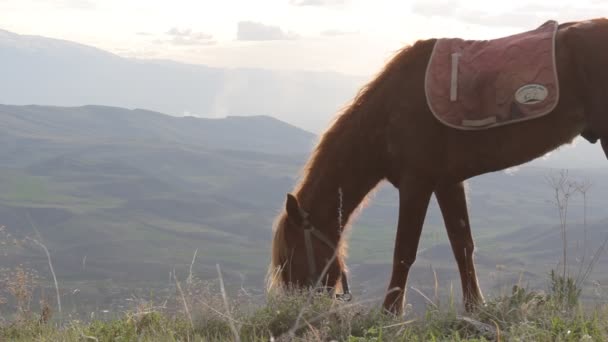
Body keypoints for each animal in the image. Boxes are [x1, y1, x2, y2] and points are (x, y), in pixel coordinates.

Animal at [266, 17, 608, 314]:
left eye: (291, 259)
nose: (298, 314)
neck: (389, 111)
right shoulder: (448, 182)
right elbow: (462, 245)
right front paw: (474, 309)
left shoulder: (416, 183)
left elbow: (404, 252)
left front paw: (388, 314)